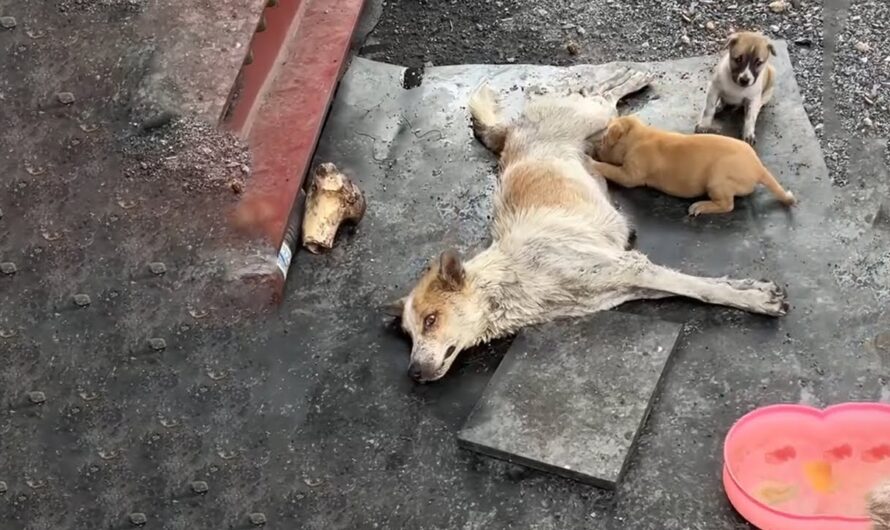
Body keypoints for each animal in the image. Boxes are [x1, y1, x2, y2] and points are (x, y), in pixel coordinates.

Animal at [592, 114, 796, 216]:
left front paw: (590, 161)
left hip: (717, 180)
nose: (594, 148)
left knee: (727, 205)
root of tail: (759, 167)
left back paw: (700, 207)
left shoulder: (630, 174)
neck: (637, 136)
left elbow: (611, 170)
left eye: (603, 139)